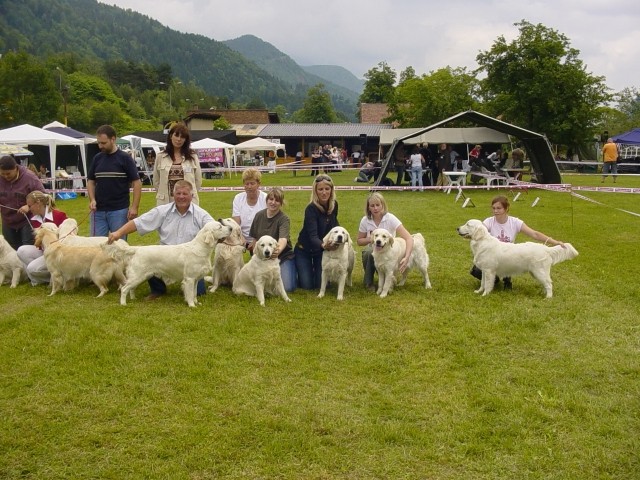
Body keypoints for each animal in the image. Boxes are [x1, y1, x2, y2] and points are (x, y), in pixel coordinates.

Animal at [104, 219, 234, 306]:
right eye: (220, 227)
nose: (231, 228)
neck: (201, 248)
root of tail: (138, 249)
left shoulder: (196, 279)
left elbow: (195, 292)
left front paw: (197, 303)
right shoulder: (189, 279)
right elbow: (190, 294)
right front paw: (192, 305)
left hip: (140, 276)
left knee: (130, 288)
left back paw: (133, 299)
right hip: (138, 276)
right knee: (124, 288)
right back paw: (123, 303)